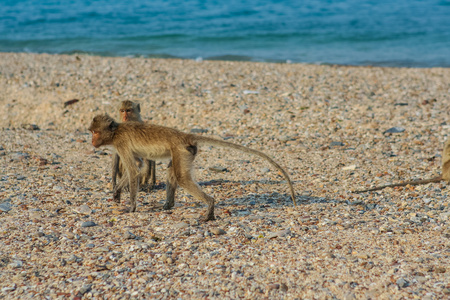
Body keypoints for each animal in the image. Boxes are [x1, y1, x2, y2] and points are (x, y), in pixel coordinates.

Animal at [89, 113, 298, 221]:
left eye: (95, 132)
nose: (92, 142)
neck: (116, 131)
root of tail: (184, 136)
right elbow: (139, 166)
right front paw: (116, 192)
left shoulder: (121, 143)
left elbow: (134, 170)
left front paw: (131, 207)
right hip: (183, 152)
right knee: (172, 173)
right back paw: (167, 205)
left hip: (181, 150)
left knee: (181, 177)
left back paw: (210, 206)